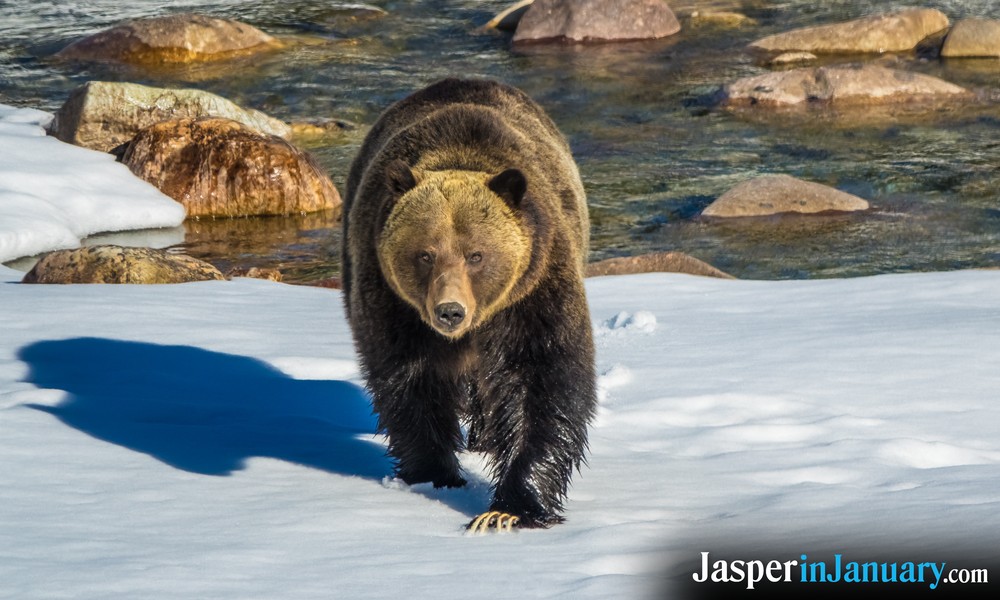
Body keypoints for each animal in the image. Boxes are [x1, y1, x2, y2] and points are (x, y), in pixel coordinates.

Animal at [342, 78, 597, 531]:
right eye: (425, 254)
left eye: (476, 255)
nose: (450, 310)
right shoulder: (393, 302)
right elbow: (409, 382)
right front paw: (433, 474)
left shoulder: (533, 291)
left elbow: (543, 380)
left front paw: (509, 509)